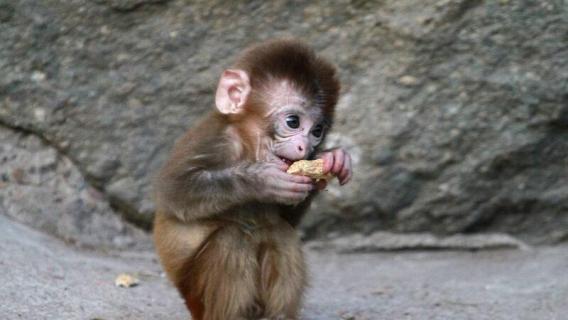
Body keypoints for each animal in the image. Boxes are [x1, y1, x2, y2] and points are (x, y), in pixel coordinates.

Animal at [153, 38, 352, 318]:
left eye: (317, 131)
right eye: (293, 122)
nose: (304, 146)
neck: (247, 146)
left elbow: (287, 220)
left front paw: (333, 158)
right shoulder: (213, 139)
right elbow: (174, 192)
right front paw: (261, 181)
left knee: (280, 233)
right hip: (195, 299)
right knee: (231, 239)